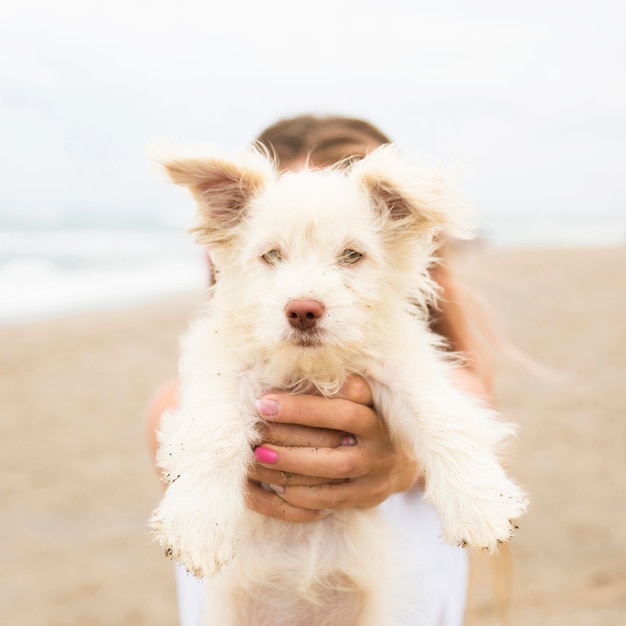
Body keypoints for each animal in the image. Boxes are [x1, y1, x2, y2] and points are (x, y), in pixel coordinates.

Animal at [149, 145, 524, 624]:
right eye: (271, 256)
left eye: (351, 256)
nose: (303, 310)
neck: (311, 369)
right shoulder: (224, 369)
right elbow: (213, 431)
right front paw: (199, 523)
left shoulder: (401, 366)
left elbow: (440, 417)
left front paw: (479, 504)